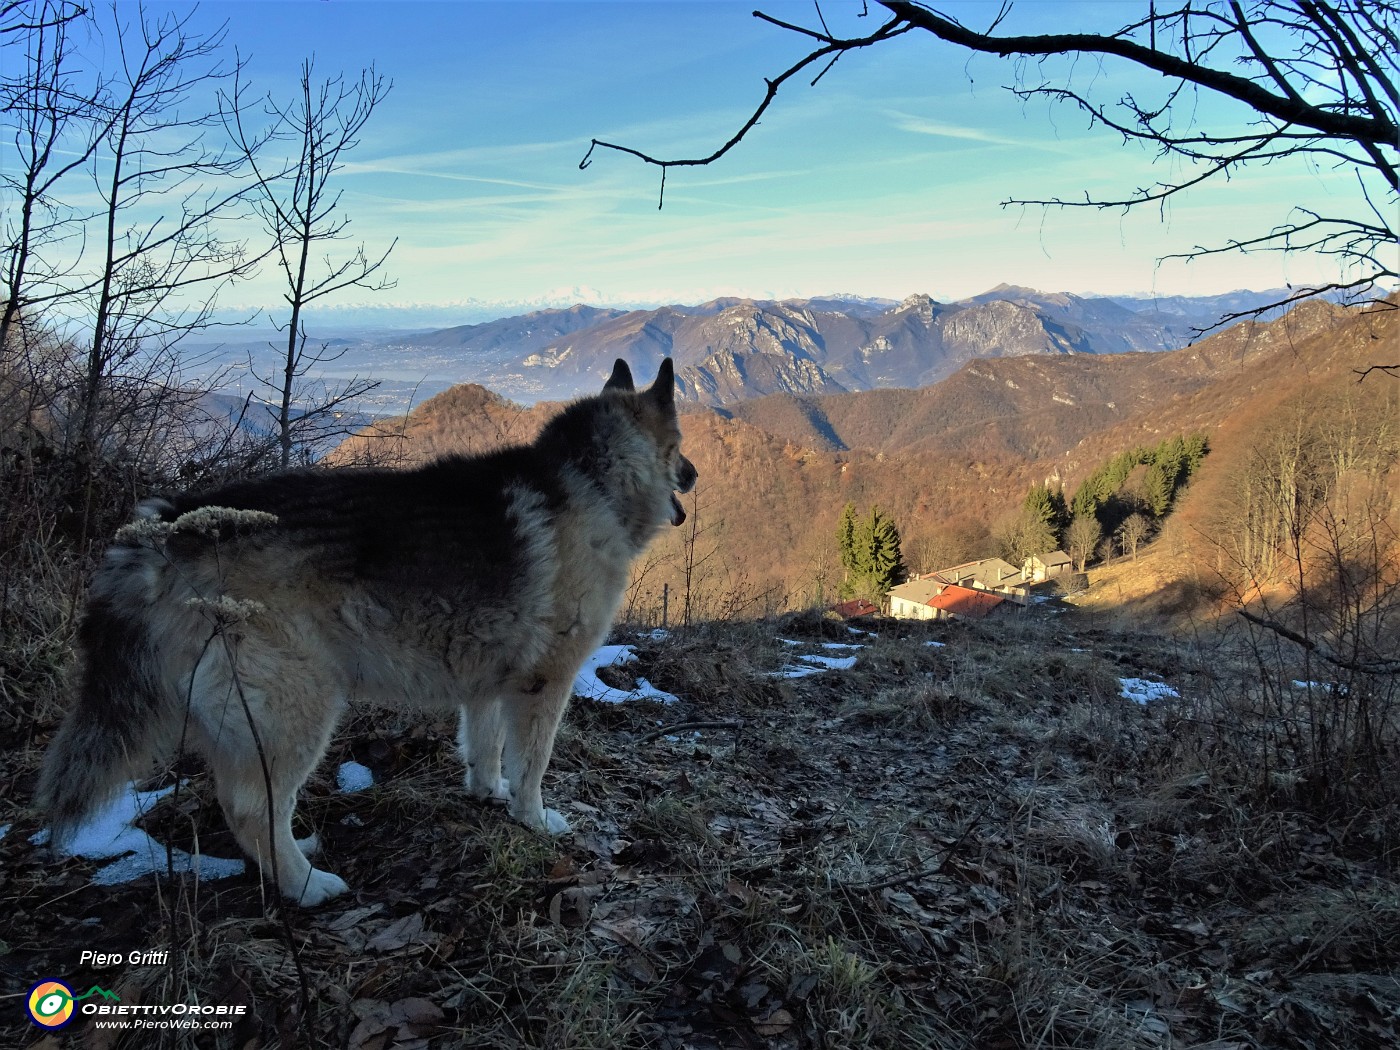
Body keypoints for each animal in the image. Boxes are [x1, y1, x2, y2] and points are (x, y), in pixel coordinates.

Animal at [38, 361, 700, 907]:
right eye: (681, 447)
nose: (694, 475)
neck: (590, 481)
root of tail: (164, 533)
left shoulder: (489, 679)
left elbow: (484, 745)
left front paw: (487, 792)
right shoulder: (545, 682)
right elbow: (531, 765)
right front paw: (533, 818)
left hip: (248, 720)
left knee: (239, 802)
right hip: (298, 709)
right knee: (252, 808)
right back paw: (306, 886)